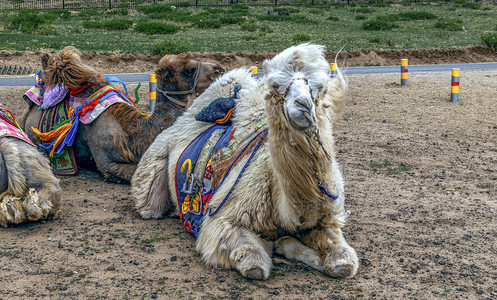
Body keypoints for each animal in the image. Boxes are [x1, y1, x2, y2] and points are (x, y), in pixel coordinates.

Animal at [131, 43, 356, 280]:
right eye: (275, 85)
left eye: (319, 87)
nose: (303, 106)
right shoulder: (223, 219)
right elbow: (254, 264)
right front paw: (279, 245)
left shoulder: (325, 221)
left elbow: (344, 262)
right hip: (152, 173)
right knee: (149, 205)